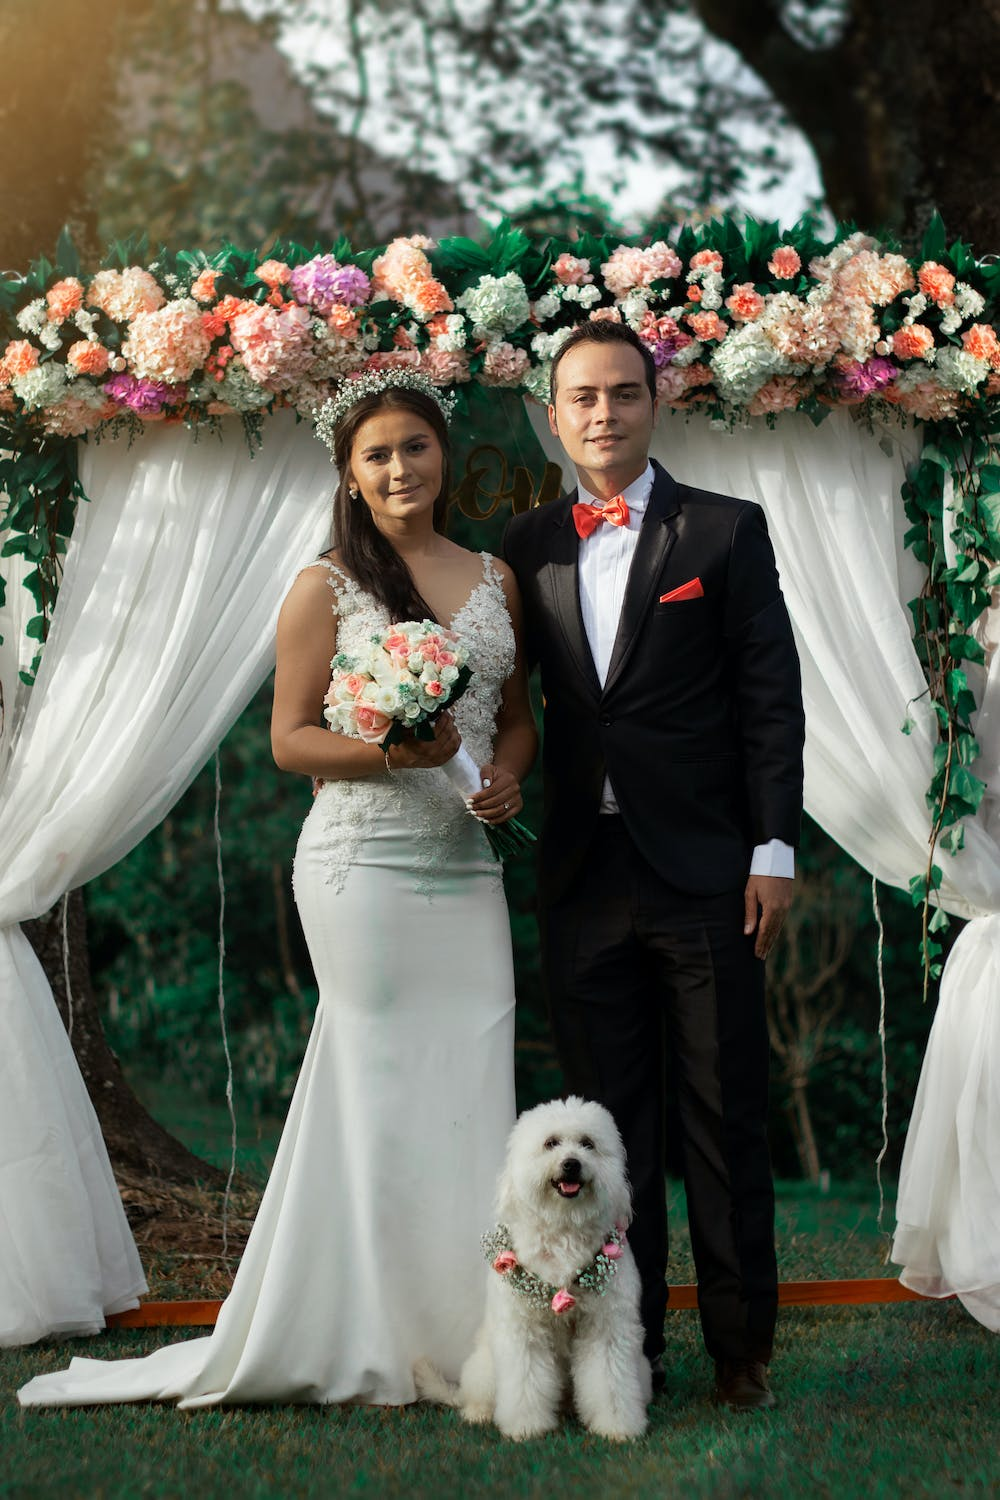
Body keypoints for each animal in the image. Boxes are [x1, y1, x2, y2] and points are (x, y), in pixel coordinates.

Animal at [413, 1104, 650, 1440]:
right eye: (550, 1143)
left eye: (588, 1143)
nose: (571, 1164)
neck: (564, 1229)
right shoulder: (523, 1331)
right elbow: (526, 1383)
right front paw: (526, 1428)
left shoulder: (606, 1327)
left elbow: (609, 1381)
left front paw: (616, 1426)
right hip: (485, 1370)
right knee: (475, 1397)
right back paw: (478, 1413)